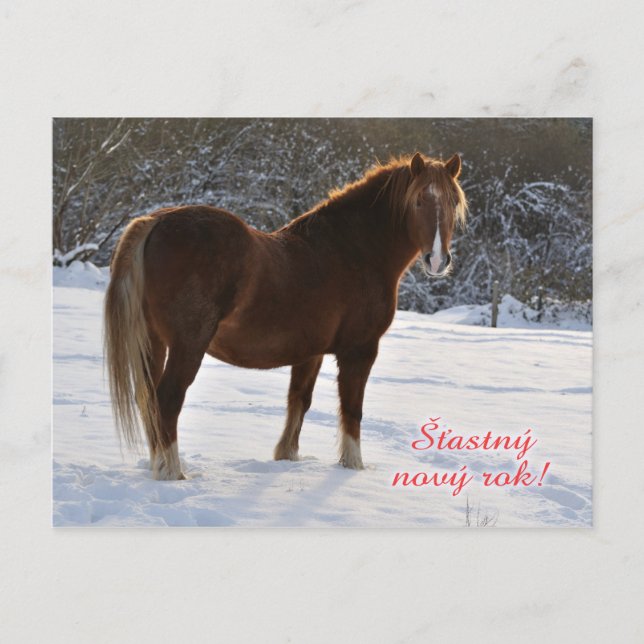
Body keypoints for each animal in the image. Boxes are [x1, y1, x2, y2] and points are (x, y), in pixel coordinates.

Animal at [104, 152, 467, 480]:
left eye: (453, 203)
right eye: (418, 201)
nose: (437, 260)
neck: (353, 250)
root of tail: (157, 221)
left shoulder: (311, 353)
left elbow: (299, 401)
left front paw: (287, 457)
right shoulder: (359, 351)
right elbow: (352, 410)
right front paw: (353, 466)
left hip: (153, 342)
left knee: (149, 399)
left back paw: (158, 466)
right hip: (187, 346)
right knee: (167, 400)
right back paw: (174, 473)